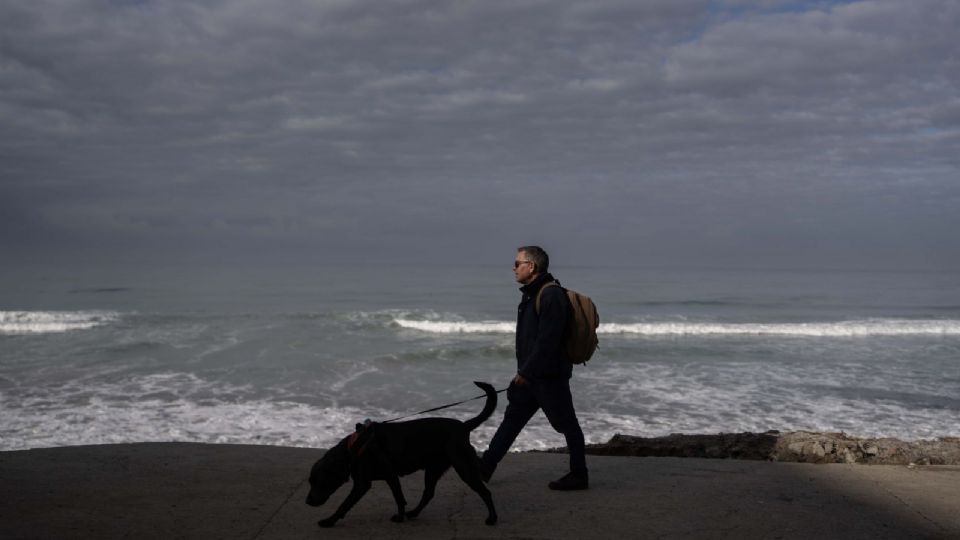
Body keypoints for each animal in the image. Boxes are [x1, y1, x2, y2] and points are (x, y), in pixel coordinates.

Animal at [308, 380, 502, 528]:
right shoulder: (388, 478)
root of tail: (463, 427)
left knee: (485, 492)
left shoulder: (370, 482)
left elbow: (346, 504)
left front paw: (329, 521)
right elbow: (399, 498)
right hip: (433, 469)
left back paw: (492, 518)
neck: (355, 447)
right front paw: (401, 516)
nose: (307, 502)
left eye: (320, 481)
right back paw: (414, 512)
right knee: (428, 493)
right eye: (310, 481)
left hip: (464, 467)